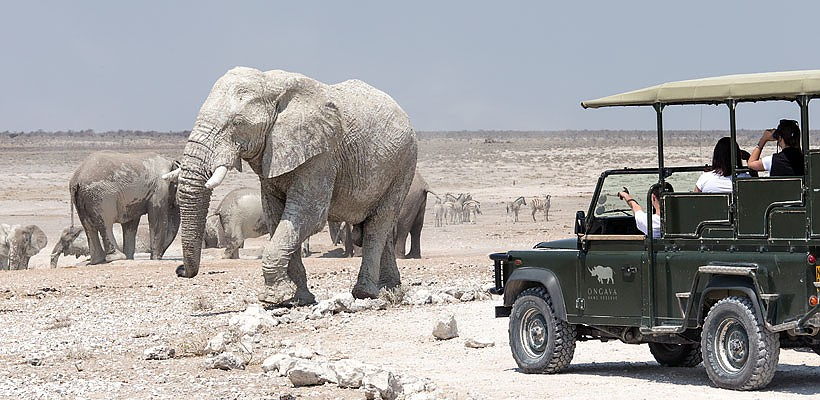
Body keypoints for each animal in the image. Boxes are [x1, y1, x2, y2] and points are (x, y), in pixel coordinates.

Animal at [174, 68, 416, 306]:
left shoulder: (321, 155)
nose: (179, 270)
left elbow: (307, 215)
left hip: (404, 164)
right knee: (382, 227)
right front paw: (297, 300)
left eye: (237, 123)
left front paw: (272, 298)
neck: (270, 85)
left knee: (378, 224)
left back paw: (366, 293)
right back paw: (391, 290)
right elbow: (276, 216)